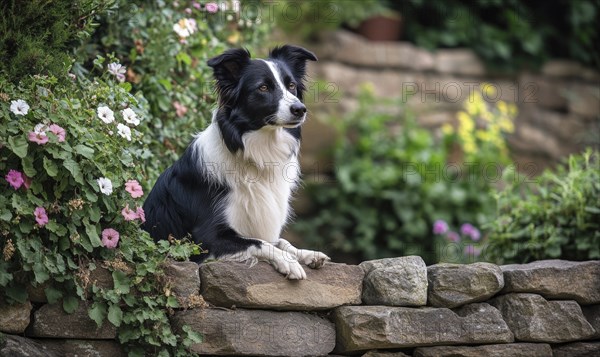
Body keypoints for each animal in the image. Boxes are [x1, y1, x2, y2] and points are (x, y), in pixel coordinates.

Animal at [143, 45, 330, 278]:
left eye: (291, 86)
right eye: (263, 87)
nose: (300, 109)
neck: (256, 153)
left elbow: (280, 241)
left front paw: (306, 253)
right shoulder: (205, 239)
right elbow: (259, 242)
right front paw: (289, 262)